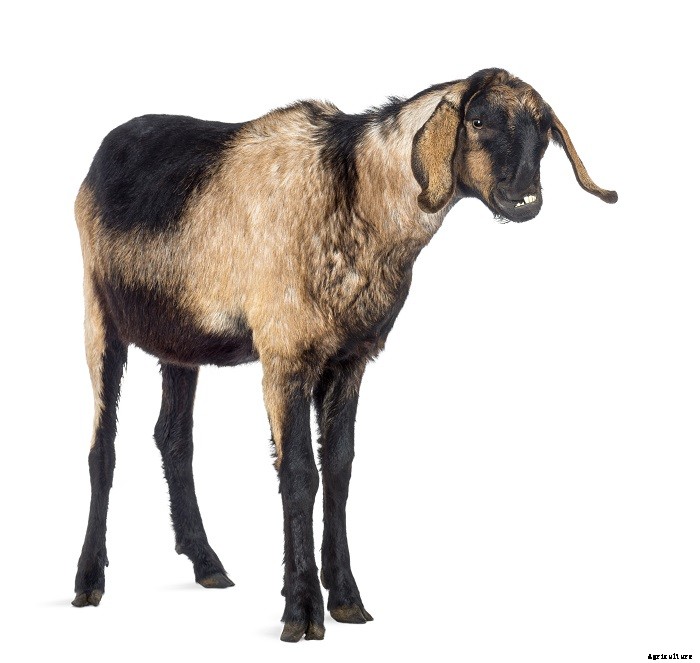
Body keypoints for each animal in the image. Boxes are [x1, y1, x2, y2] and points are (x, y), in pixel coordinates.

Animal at [72, 68, 617, 642]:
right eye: (477, 120)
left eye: (544, 128)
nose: (524, 196)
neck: (355, 190)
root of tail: (101, 155)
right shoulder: (285, 353)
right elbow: (298, 474)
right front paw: (302, 610)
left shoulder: (350, 358)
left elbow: (338, 468)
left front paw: (347, 598)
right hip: (98, 314)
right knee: (102, 446)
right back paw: (89, 581)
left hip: (181, 339)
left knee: (173, 437)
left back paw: (208, 564)